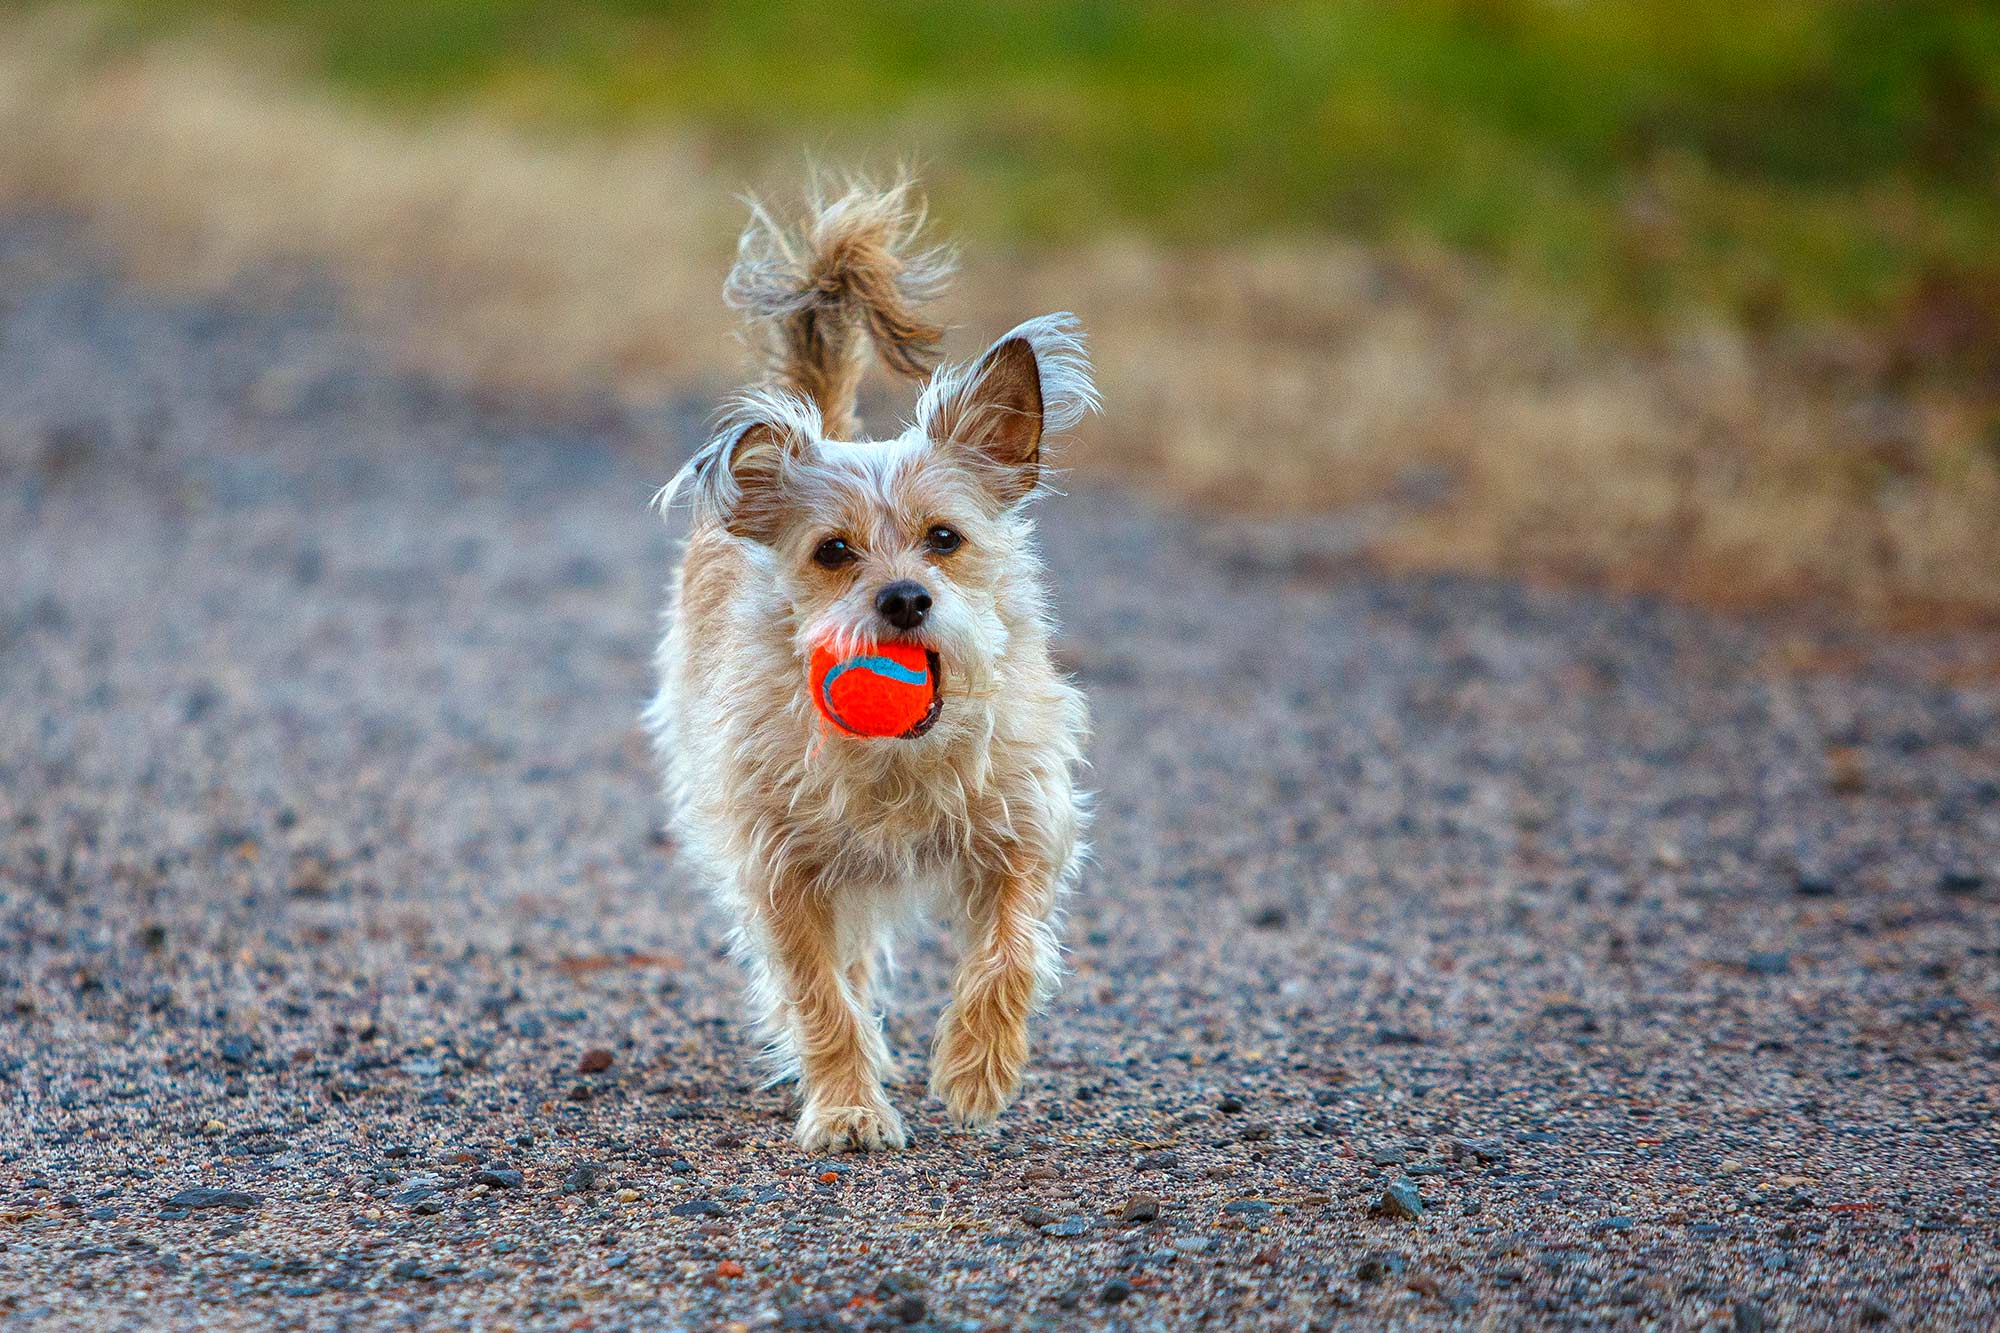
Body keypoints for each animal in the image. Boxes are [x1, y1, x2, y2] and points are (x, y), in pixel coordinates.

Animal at [648, 176, 1096, 1144]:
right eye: (832, 551)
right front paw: (849, 1104)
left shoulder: (1025, 827)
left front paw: (977, 1066)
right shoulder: (782, 870)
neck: (899, 760)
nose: (903, 599)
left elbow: (1010, 950)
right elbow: (820, 995)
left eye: (944, 538)